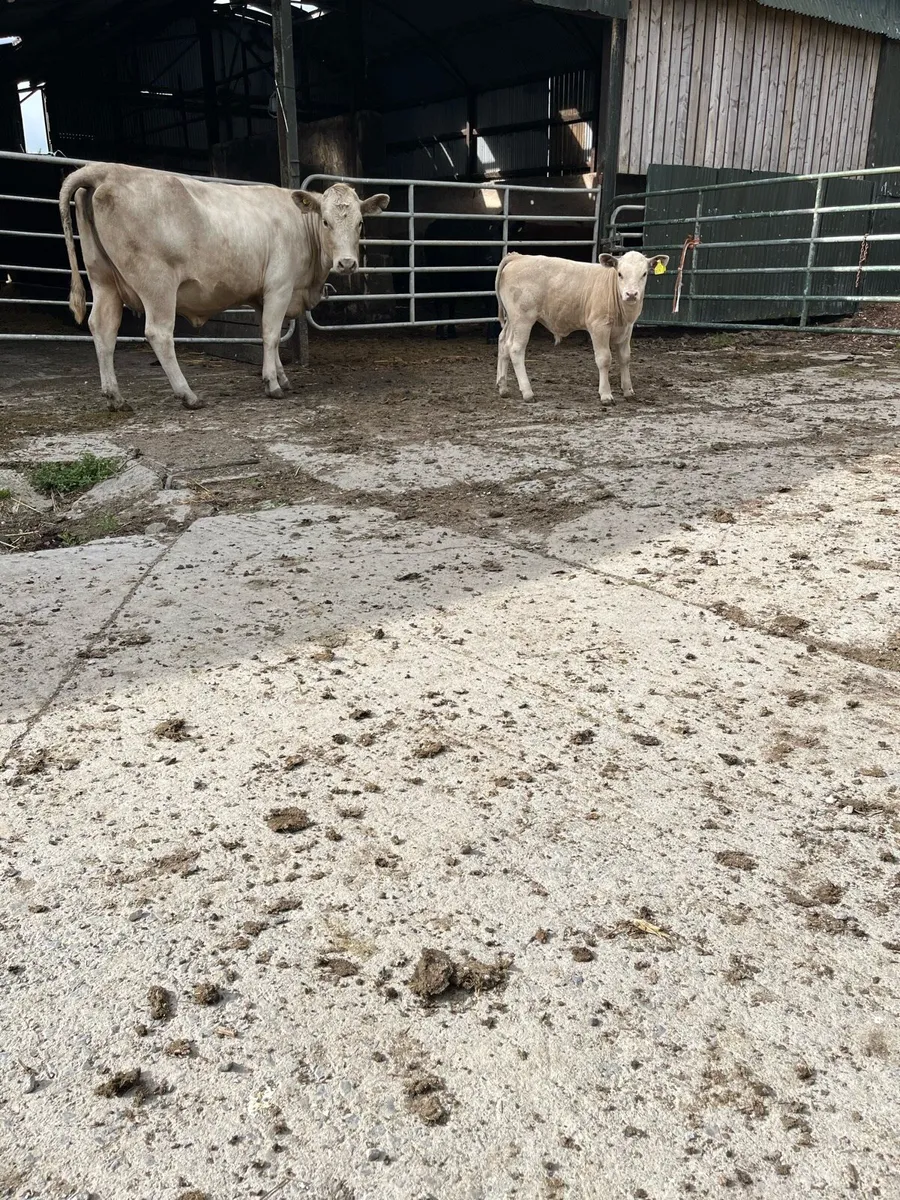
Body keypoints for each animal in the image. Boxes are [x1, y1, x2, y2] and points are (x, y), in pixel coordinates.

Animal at [58, 162, 389, 411]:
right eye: (325, 222)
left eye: (360, 223)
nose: (346, 263)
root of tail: (106, 170)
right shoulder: (279, 287)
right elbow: (271, 335)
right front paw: (272, 384)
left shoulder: (261, 297)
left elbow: (268, 335)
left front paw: (281, 376)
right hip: (157, 283)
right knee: (159, 333)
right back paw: (188, 395)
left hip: (104, 280)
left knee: (103, 327)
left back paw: (115, 397)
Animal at [495, 250, 669, 402]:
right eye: (620, 274)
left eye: (644, 274)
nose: (631, 294)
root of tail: (519, 257)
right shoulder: (599, 326)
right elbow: (604, 359)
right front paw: (606, 394)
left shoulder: (627, 329)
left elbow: (625, 358)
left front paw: (628, 391)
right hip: (523, 318)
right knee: (516, 349)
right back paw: (527, 392)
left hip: (512, 320)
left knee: (503, 342)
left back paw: (503, 387)